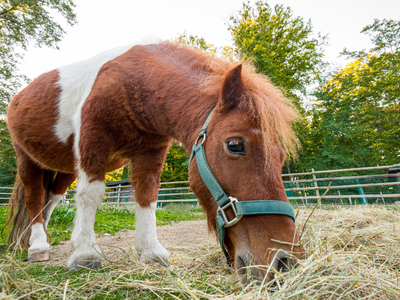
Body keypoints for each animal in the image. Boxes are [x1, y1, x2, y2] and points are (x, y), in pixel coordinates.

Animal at [6, 41, 302, 278]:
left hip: (64, 167)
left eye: (281, 156)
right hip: (28, 160)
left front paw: (150, 251)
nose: (285, 262)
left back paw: (42, 237)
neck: (134, 84)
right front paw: (85, 253)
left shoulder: (150, 151)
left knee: (52, 200)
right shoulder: (93, 143)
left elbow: (147, 196)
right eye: (235, 145)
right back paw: (38, 245)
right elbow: (90, 195)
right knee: (35, 199)